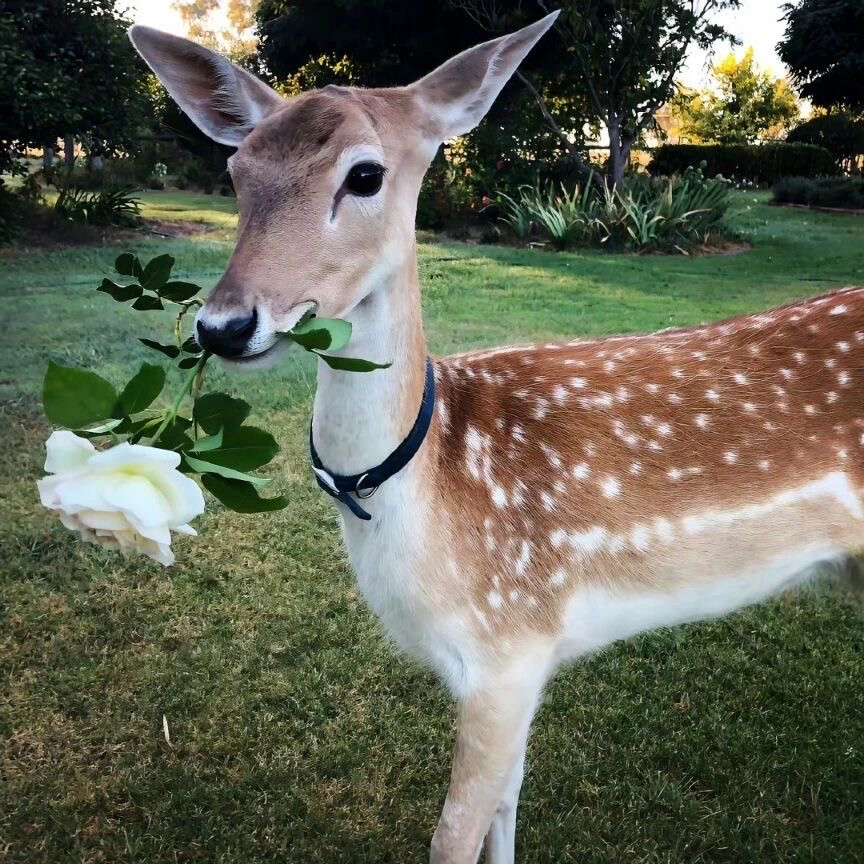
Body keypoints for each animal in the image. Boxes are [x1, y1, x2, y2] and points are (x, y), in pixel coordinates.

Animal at [128, 15, 864, 864]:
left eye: (365, 175)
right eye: (237, 170)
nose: (222, 325)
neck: (426, 489)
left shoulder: (510, 642)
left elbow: (454, 831)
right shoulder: (506, 666)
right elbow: (507, 803)